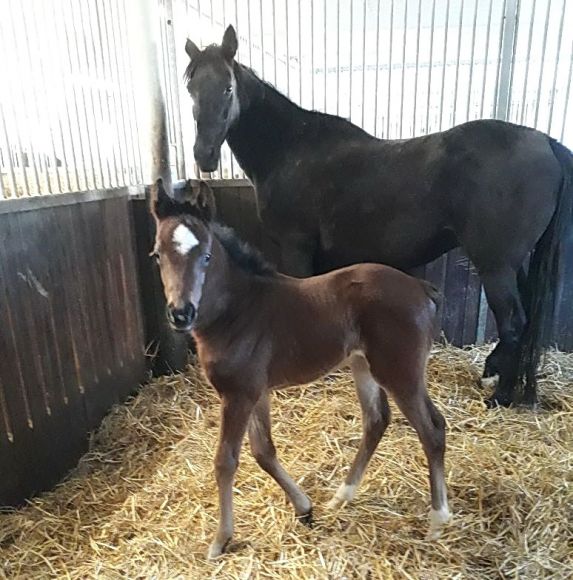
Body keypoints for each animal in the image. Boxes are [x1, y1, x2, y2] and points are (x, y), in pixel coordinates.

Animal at [151, 180, 452, 556]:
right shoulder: (256, 392)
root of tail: (422, 288)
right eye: (157, 255)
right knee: (376, 420)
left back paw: (437, 520)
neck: (237, 310)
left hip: (400, 372)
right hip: (363, 365)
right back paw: (341, 497)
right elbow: (264, 451)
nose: (181, 313)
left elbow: (226, 461)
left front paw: (221, 540)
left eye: (206, 255)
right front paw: (305, 509)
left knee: (432, 429)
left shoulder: (238, 395)